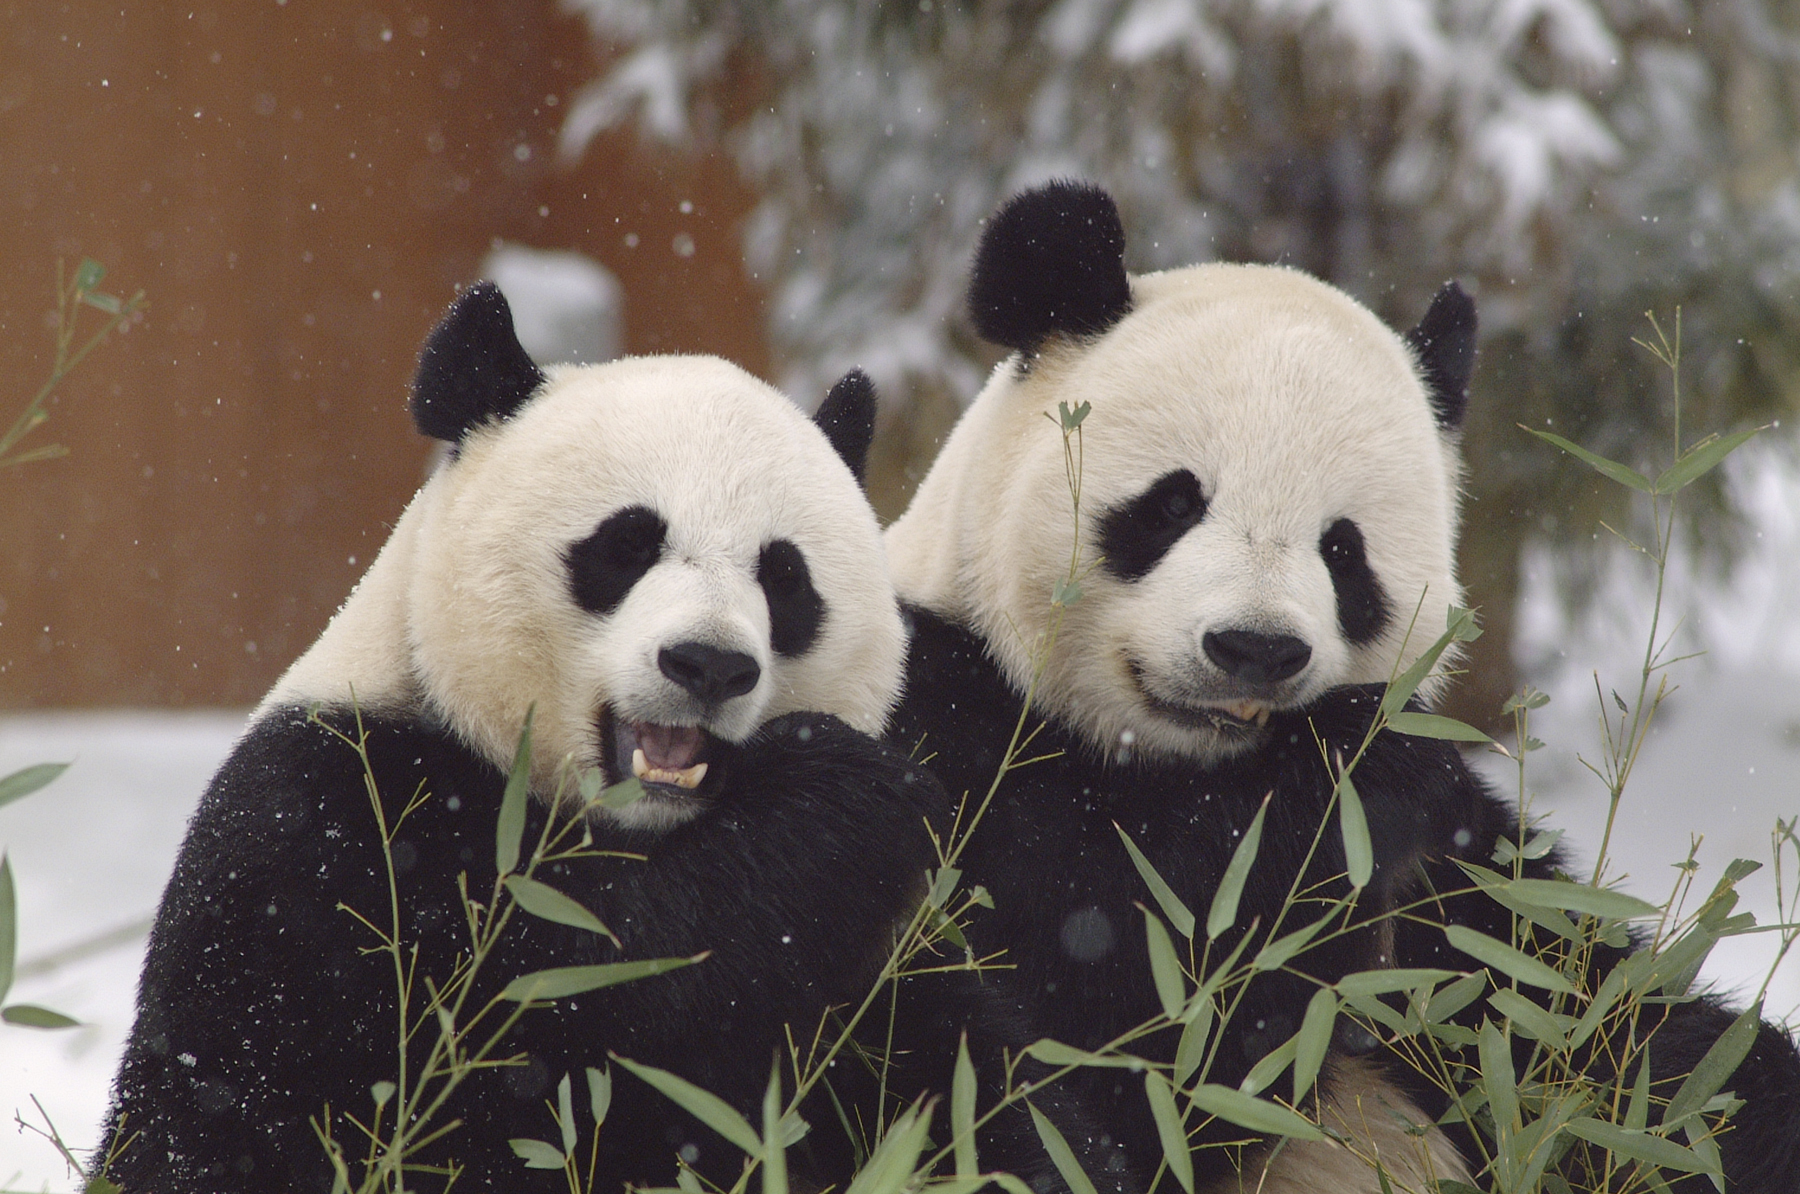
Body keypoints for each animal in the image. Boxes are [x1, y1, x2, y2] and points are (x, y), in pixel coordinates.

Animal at [97, 284, 959, 1193]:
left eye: (785, 576)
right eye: (626, 544)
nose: (710, 665)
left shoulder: (896, 974)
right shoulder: (325, 835)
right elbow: (558, 1009)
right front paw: (843, 800)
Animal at [885, 182, 1800, 1194]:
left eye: (1343, 551)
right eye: (1173, 504)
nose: (1253, 648)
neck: (1180, 767)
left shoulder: (1462, 893)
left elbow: (1611, 1036)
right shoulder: (946, 728)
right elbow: (1115, 1018)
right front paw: (1351, 777)